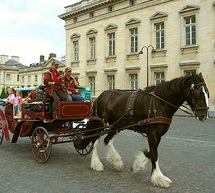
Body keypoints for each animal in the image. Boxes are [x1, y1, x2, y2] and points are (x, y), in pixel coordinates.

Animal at [77, 73, 208, 188]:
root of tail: (101, 95)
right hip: (100, 122)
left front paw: (137, 166)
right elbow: (154, 154)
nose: (204, 116)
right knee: (95, 141)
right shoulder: (152, 133)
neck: (160, 103)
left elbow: (150, 153)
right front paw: (158, 178)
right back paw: (96, 164)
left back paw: (116, 161)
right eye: (197, 93)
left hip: (117, 124)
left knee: (107, 140)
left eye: (207, 93)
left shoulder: (157, 135)